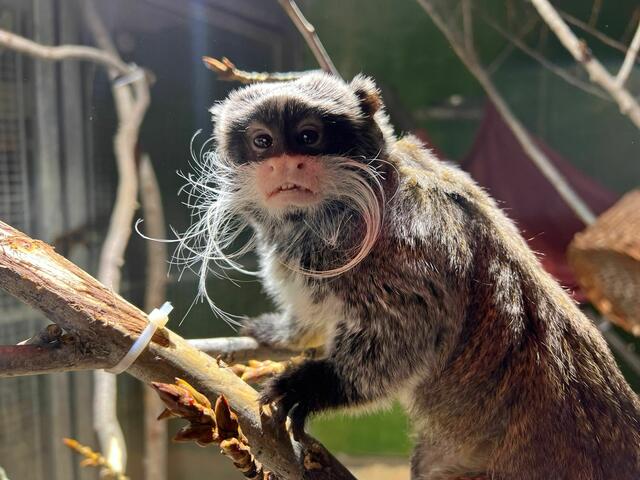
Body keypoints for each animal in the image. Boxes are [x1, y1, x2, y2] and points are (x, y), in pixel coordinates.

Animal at [179, 72, 640, 479]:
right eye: (263, 141)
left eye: (309, 136)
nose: (285, 163)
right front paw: (282, 333)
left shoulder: (403, 241)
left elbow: (410, 334)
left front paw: (310, 385)